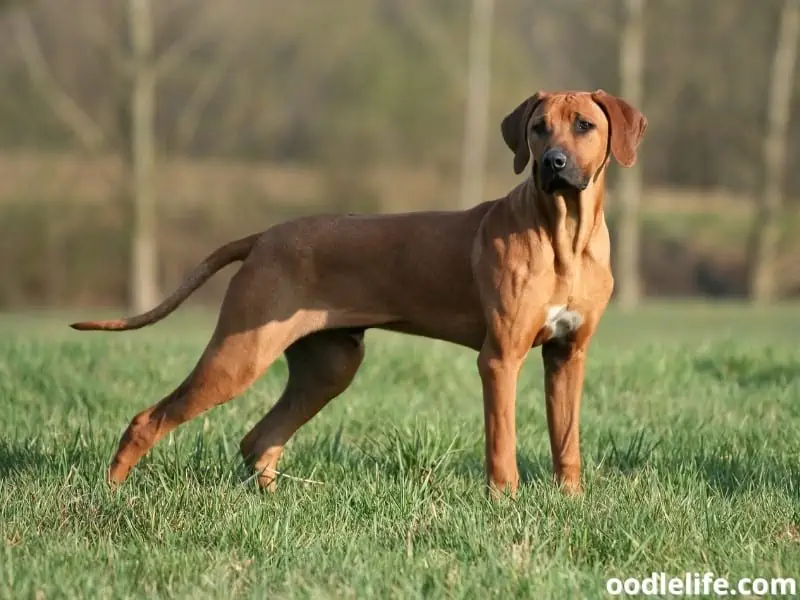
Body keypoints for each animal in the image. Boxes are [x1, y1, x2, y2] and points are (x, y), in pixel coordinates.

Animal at [72, 86, 648, 494]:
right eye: (537, 129)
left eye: (584, 125)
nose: (553, 163)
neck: (565, 234)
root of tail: (263, 237)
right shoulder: (500, 358)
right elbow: (502, 442)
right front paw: (505, 503)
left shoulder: (568, 354)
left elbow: (566, 441)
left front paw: (570, 501)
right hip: (239, 355)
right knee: (149, 419)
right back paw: (110, 494)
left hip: (329, 365)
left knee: (259, 438)